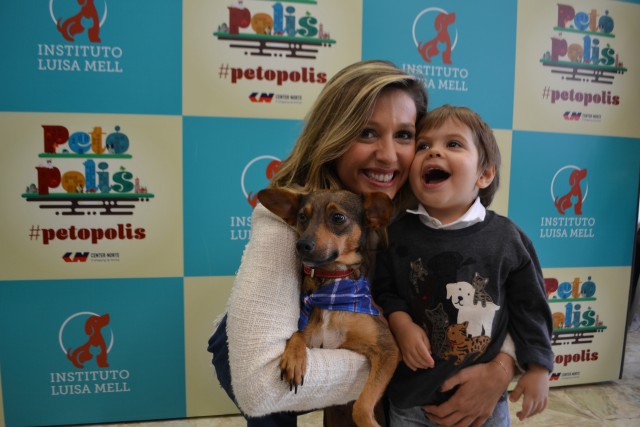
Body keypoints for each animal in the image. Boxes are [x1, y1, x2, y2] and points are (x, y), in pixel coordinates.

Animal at [256, 189, 400, 427]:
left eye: (338, 218)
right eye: (302, 217)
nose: (301, 245)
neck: (331, 287)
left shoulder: (387, 348)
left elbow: (361, 406)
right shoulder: (312, 337)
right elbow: (296, 333)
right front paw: (294, 359)